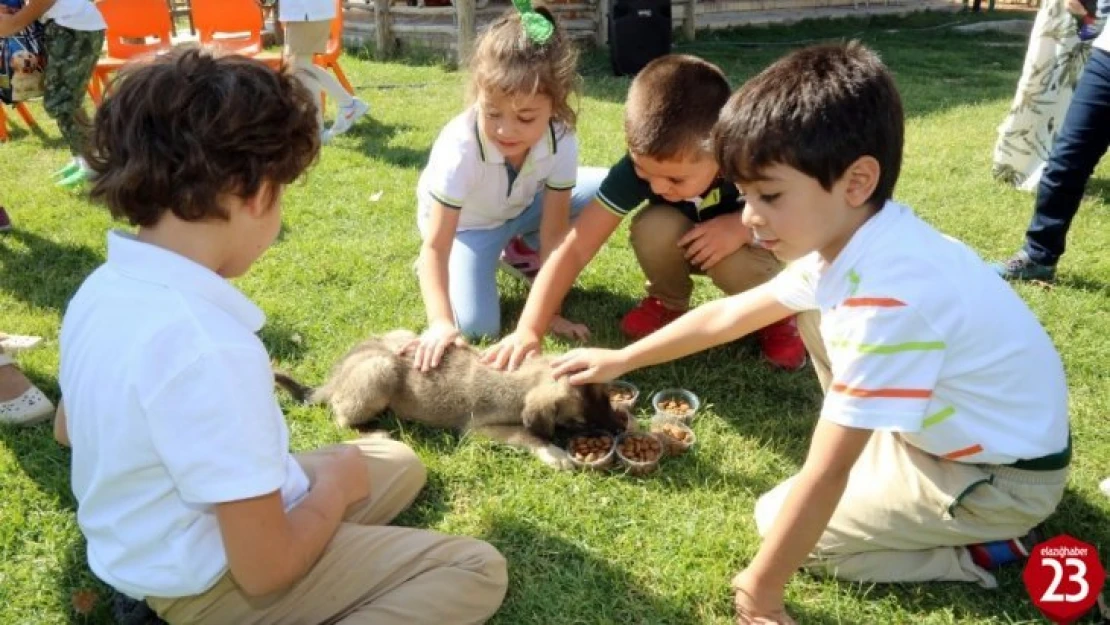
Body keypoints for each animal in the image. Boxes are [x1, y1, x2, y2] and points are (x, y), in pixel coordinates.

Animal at [274, 333, 630, 470]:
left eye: (606, 397)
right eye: (579, 423)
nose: (619, 431)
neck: (522, 377)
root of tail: (336, 376)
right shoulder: (479, 430)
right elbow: (527, 434)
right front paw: (553, 452)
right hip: (380, 371)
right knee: (340, 418)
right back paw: (375, 432)